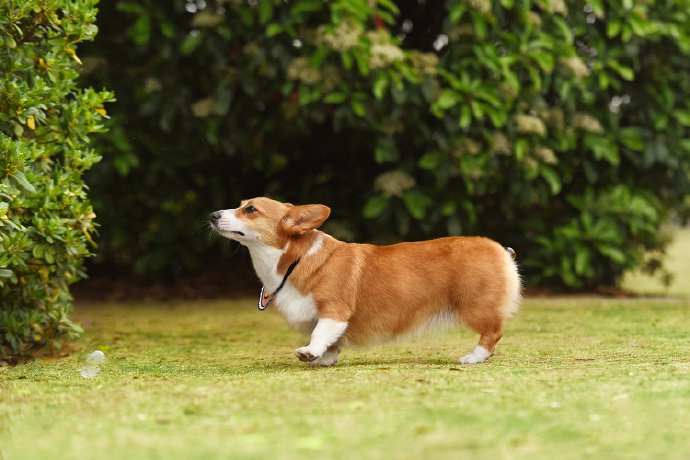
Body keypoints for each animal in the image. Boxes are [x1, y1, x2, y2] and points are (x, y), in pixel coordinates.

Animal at [207, 197, 520, 366]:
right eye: (240, 205)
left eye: (250, 209)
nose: (212, 214)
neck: (295, 259)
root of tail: (499, 249)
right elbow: (332, 341)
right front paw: (325, 358)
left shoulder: (334, 310)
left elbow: (320, 333)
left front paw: (310, 353)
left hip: (475, 307)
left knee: (493, 332)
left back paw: (474, 357)